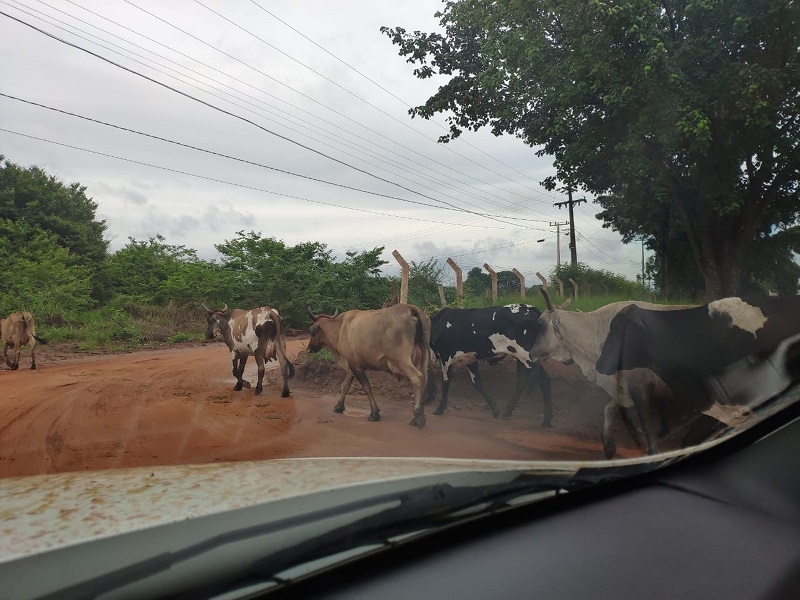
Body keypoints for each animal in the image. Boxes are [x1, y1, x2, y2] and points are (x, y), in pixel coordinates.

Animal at [524, 288, 692, 458]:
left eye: (540, 324)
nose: (531, 354)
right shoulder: (620, 384)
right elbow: (608, 410)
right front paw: (609, 446)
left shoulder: (639, 385)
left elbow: (646, 424)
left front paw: (652, 451)